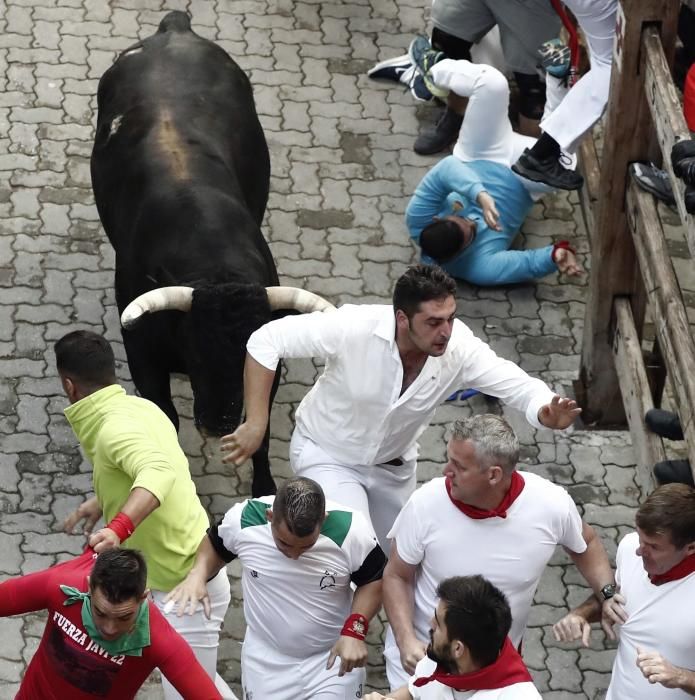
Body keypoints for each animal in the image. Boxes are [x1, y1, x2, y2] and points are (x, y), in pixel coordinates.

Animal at [89, 8, 280, 494]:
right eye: (195, 349)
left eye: (247, 356)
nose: (220, 421)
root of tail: (174, 28)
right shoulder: (143, 355)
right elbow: (166, 419)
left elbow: (263, 423)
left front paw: (264, 487)